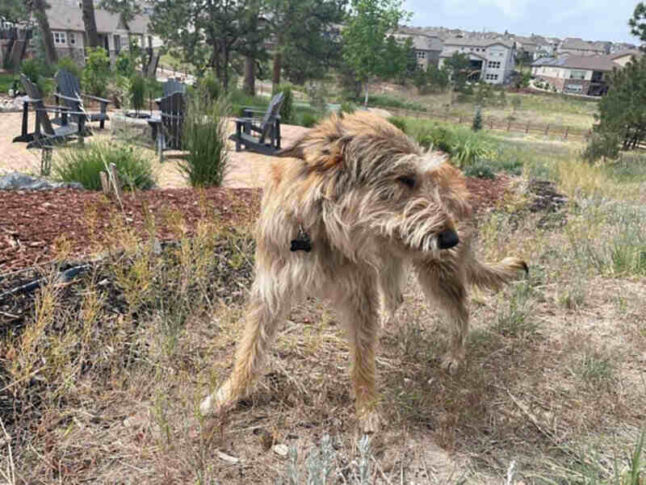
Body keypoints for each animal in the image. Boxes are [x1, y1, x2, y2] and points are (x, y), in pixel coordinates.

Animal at [201, 112, 528, 432]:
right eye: (405, 179)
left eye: (425, 181)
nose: (451, 238)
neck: (320, 228)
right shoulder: (271, 290)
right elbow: (249, 350)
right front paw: (226, 395)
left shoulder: (359, 292)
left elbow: (362, 361)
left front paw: (368, 410)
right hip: (389, 262)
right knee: (395, 299)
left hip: (436, 271)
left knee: (460, 311)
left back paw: (454, 356)